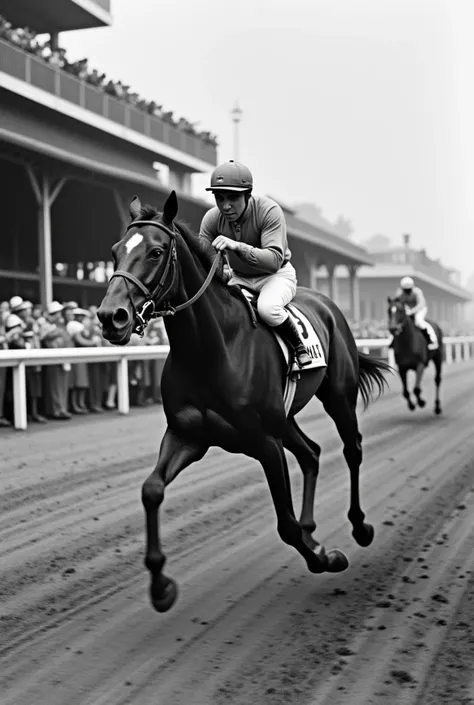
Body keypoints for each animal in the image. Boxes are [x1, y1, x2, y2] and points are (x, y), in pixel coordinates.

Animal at [96, 192, 388, 612]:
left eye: (155, 251)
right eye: (115, 251)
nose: (110, 317)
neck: (211, 349)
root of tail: (328, 304)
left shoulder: (265, 442)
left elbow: (285, 525)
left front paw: (326, 558)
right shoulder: (188, 435)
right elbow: (151, 490)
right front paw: (161, 585)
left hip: (338, 396)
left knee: (352, 449)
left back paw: (359, 525)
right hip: (286, 419)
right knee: (312, 453)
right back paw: (313, 527)